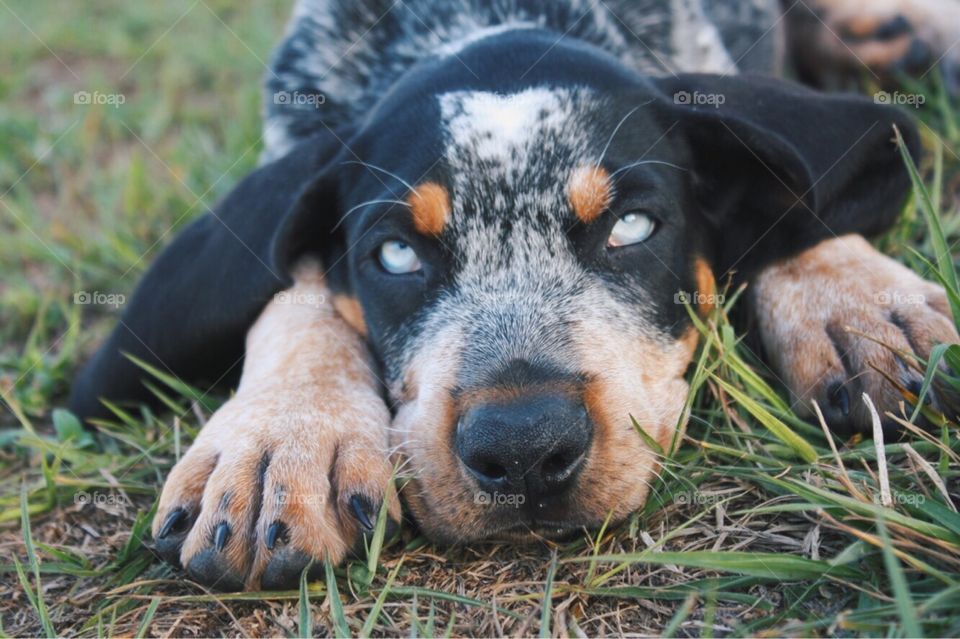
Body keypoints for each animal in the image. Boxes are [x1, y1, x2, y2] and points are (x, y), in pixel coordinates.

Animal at [69, 0, 960, 592]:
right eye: (395, 253)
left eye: (632, 226)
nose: (525, 448)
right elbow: (300, 284)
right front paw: (281, 436)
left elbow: (791, 198)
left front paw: (859, 301)